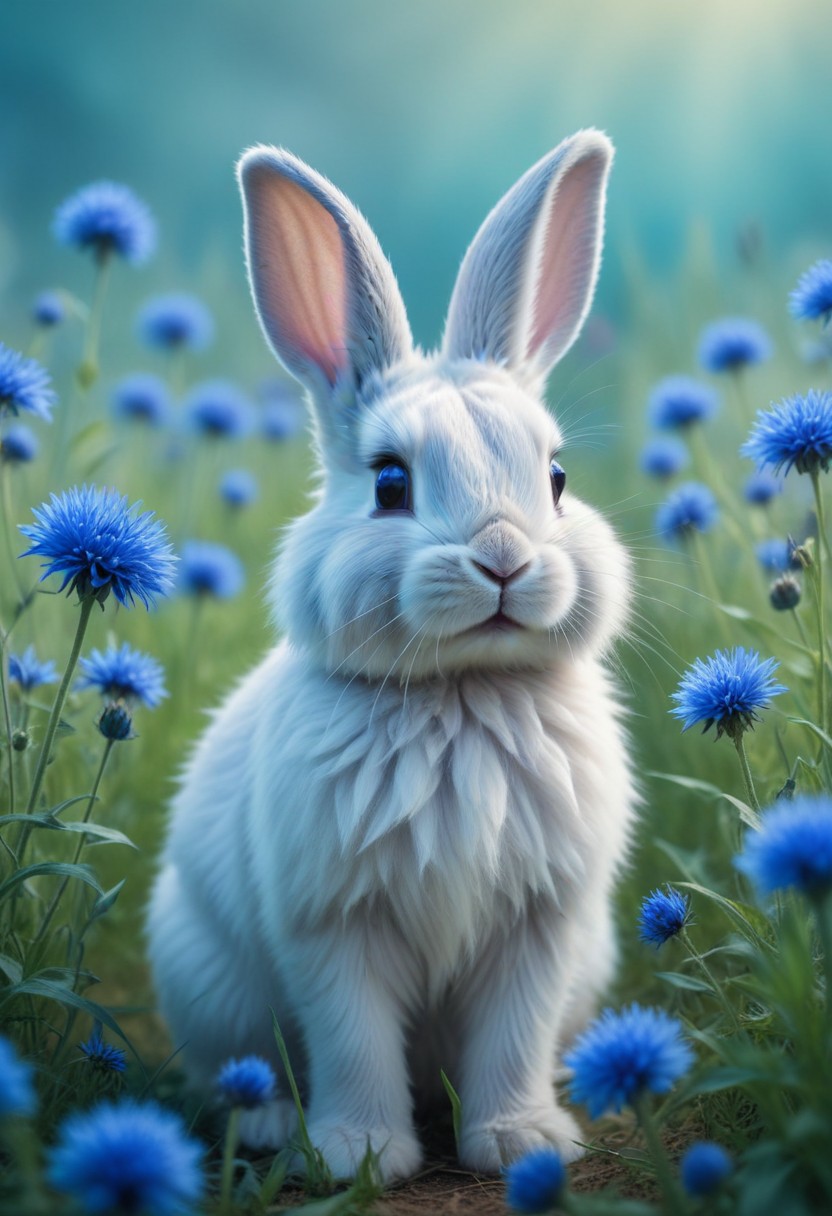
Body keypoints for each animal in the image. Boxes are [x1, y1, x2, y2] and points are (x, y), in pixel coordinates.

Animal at [147, 128, 636, 1183]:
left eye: (556, 477)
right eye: (389, 483)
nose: (504, 559)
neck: (460, 693)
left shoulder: (540, 927)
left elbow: (513, 1038)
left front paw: (519, 1142)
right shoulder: (334, 927)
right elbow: (353, 1039)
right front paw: (362, 1156)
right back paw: (269, 1125)